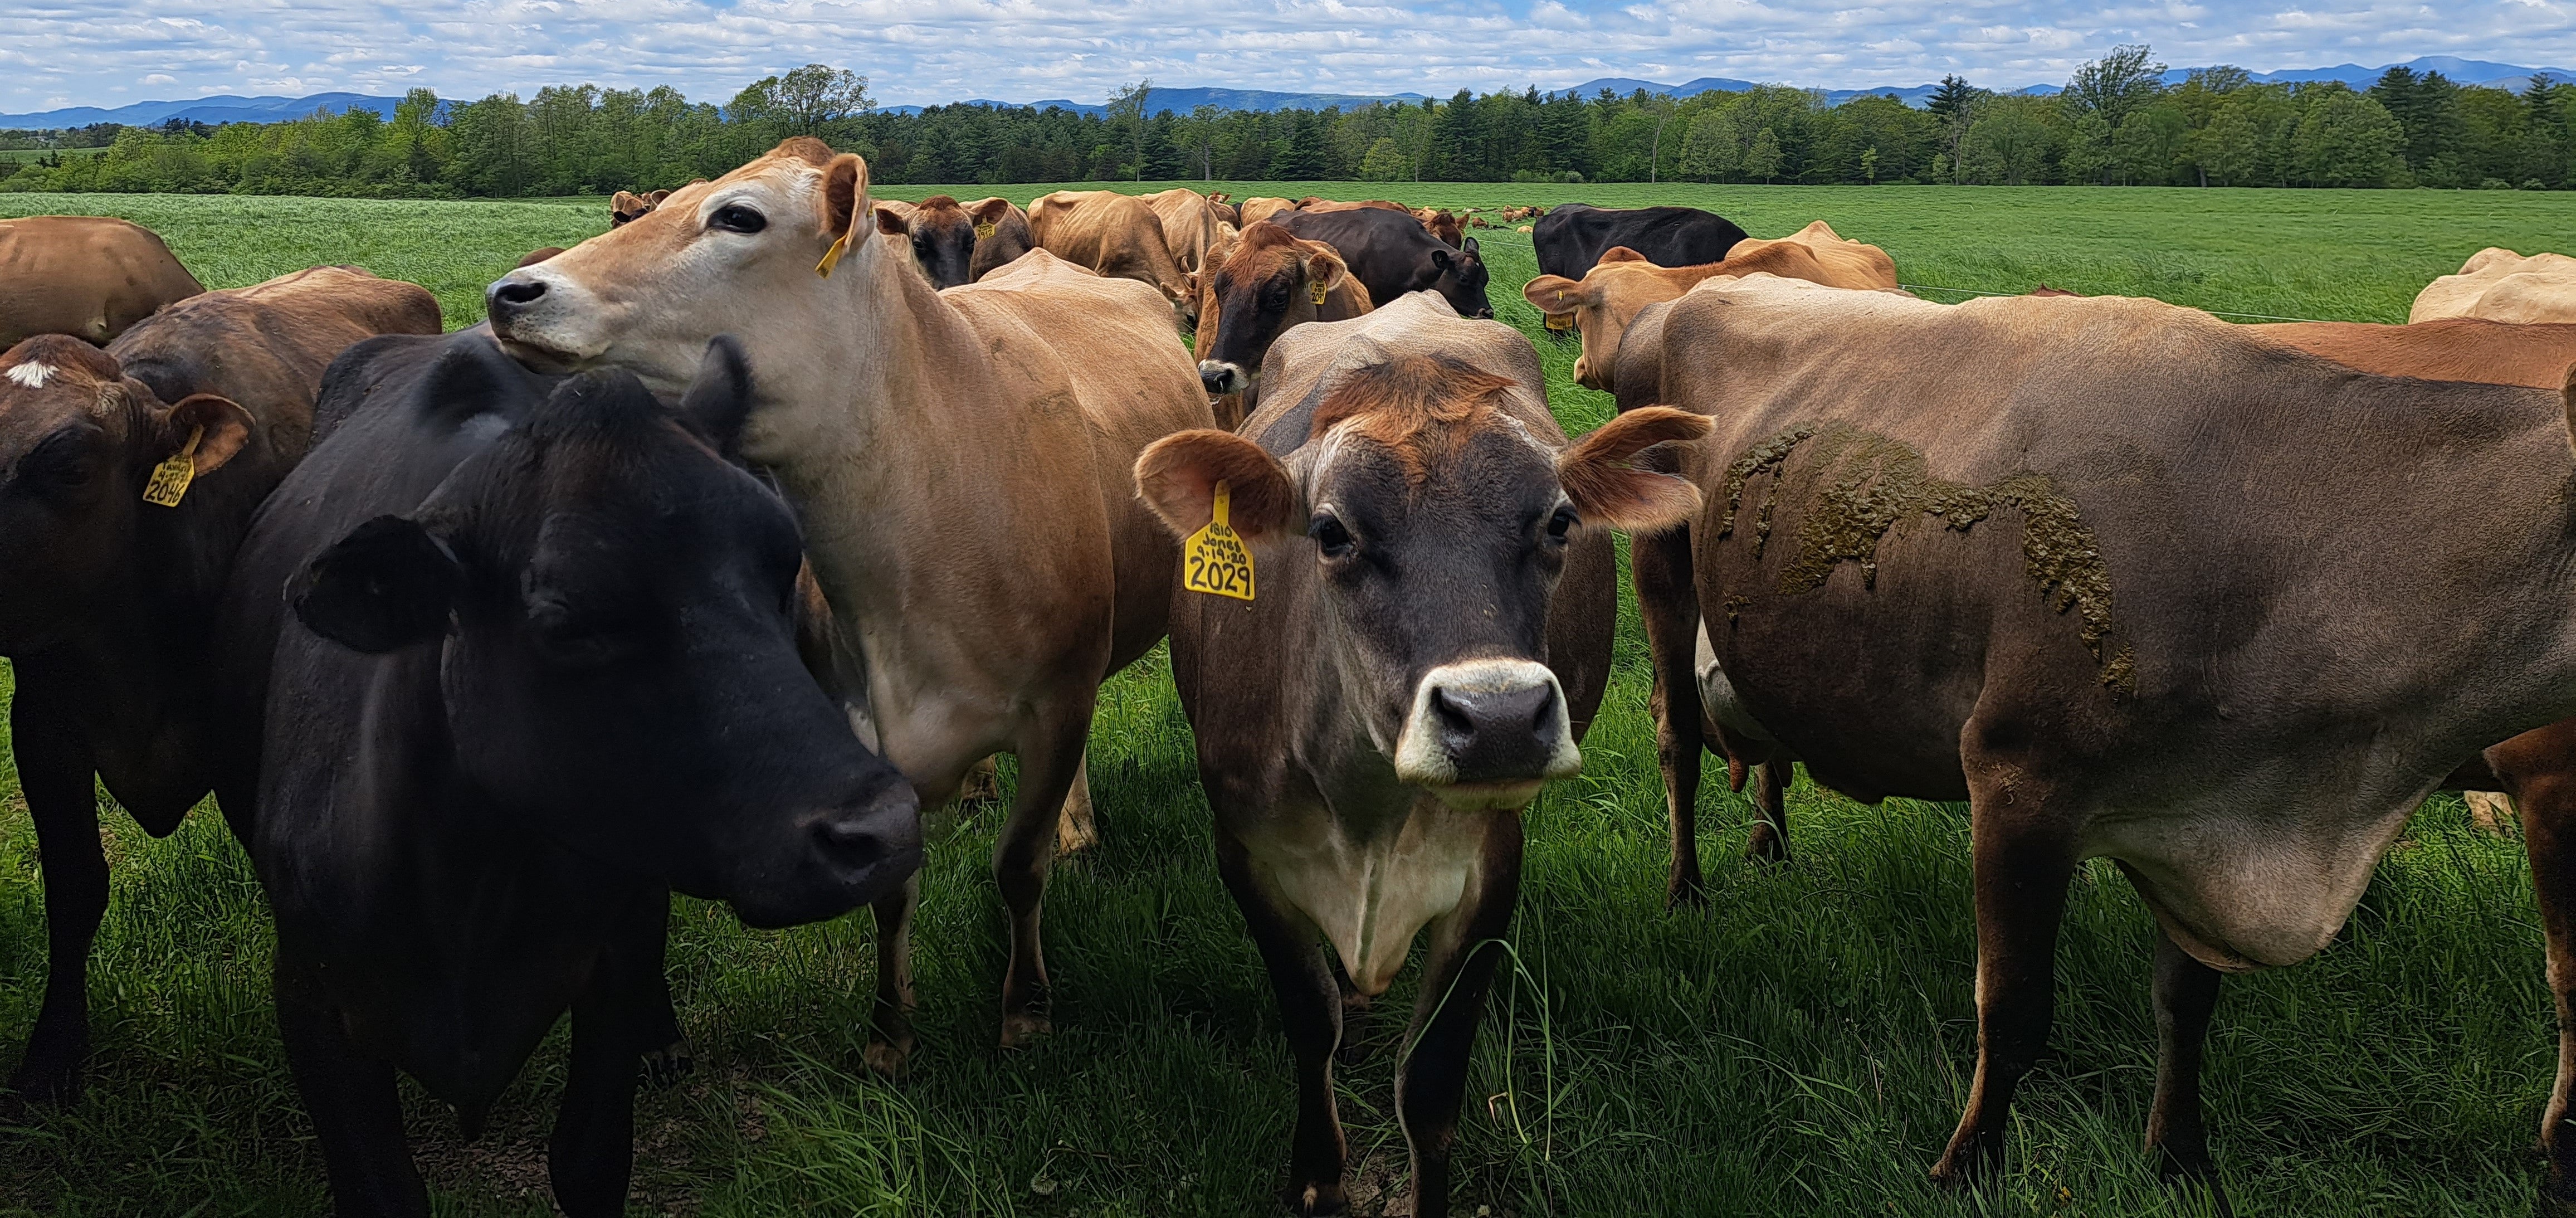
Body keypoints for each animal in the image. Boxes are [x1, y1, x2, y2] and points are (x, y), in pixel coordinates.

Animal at [213, 331, 922, 1217]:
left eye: (784, 565)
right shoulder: (311, 996)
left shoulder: (609, 960)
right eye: (567, 620)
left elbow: (588, 1156)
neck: (472, 882)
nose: (884, 827)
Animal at [1137, 292, 1695, 1218]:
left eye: (1559, 521)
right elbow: (1310, 1021)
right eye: (1331, 532)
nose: (1499, 718)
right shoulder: (1244, 849)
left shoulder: (1490, 865)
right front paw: (1317, 1172)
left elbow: (1430, 1078)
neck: (1369, 809)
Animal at [1615, 273, 2576, 1212]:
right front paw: (1965, 1167)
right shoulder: (2019, 778)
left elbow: (2186, 1003)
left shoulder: (2191, 817)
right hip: (1663, 576)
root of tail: (1692, 292)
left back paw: (1768, 846)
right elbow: (2013, 1008)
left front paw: (2179, 1156)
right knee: (1678, 740)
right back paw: (1684, 889)